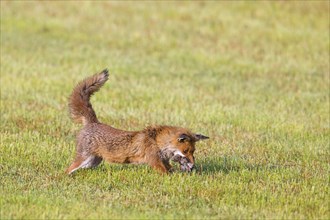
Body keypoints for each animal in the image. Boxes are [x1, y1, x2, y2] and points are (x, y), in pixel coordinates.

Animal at [65, 69, 208, 174]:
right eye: (186, 151)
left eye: (193, 151)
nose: (193, 166)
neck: (157, 141)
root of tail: (93, 122)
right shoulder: (155, 162)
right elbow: (167, 173)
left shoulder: (164, 161)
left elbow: (171, 170)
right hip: (83, 158)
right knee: (67, 169)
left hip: (92, 162)